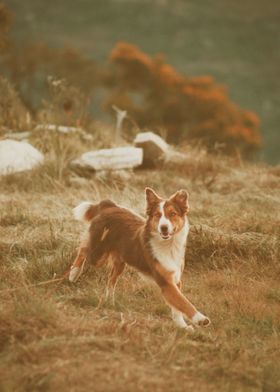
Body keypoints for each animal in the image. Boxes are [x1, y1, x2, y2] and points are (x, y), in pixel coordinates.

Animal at [69, 188, 210, 330]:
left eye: (173, 213)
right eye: (157, 215)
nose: (163, 227)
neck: (168, 245)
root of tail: (108, 206)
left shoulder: (175, 279)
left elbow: (177, 307)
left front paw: (182, 326)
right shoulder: (166, 282)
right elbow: (183, 302)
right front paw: (200, 319)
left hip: (120, 262)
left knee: (111, 279)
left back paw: (110, 301)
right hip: (97, 254)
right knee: (83, 249)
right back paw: (74, 273)